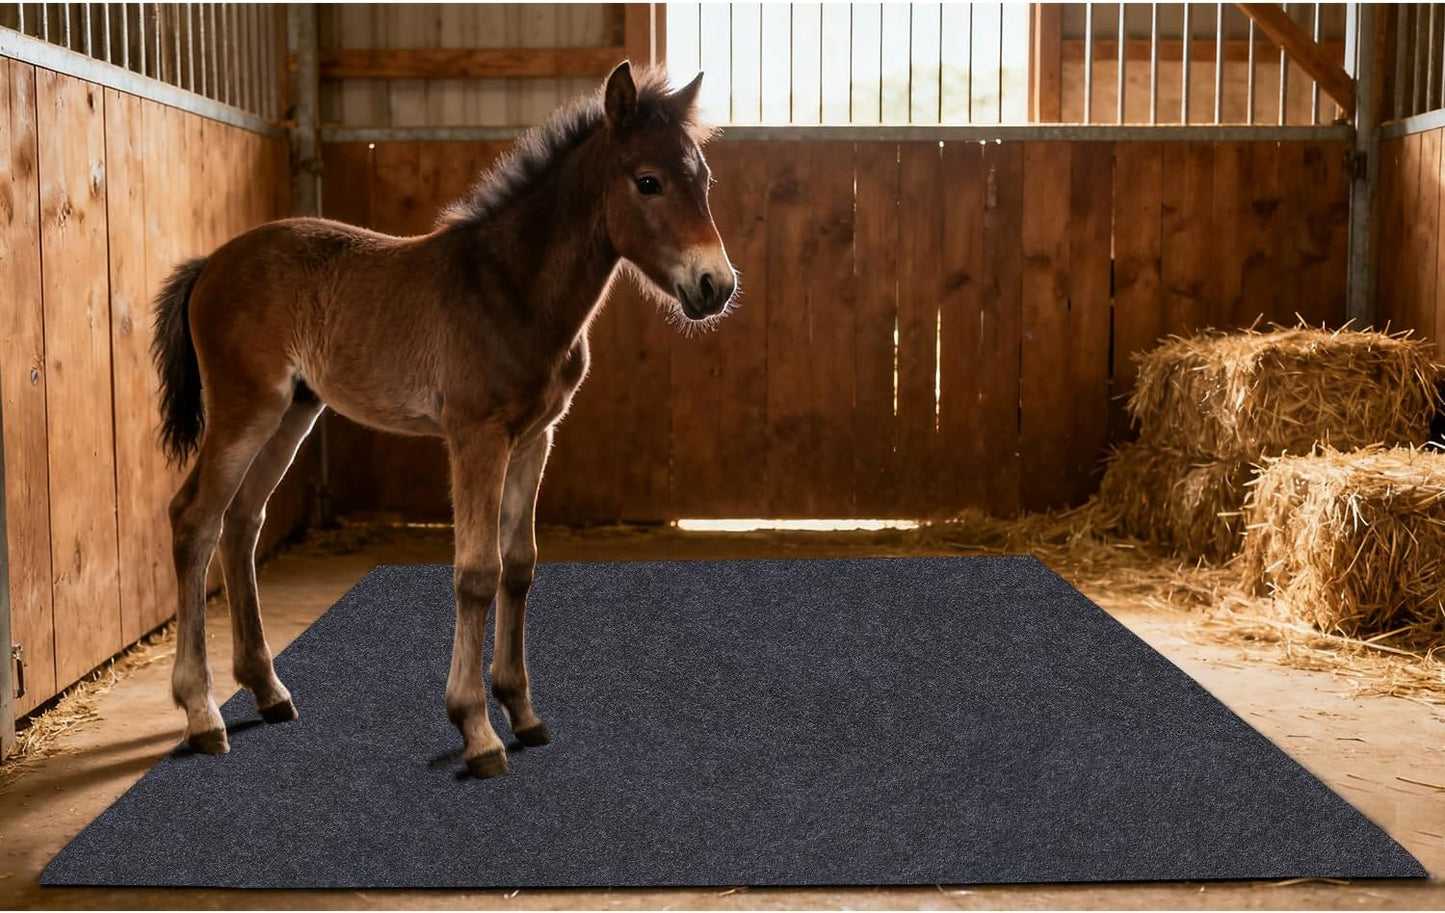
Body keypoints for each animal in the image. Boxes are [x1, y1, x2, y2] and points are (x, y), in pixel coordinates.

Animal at [150, 62, 736, 778]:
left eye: (703, 180)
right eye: (647, 180)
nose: (716, 286)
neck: (510, 289)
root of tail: (211, 263)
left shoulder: (534, 437)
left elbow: (520, 563)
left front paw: (523, 712)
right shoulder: (476, 437)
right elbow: (477, 572)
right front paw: (477, 730)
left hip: (293, 412)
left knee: (241, 522)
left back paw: (267, 691)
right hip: (245, 409)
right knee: (195, 520)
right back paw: (202, 713)